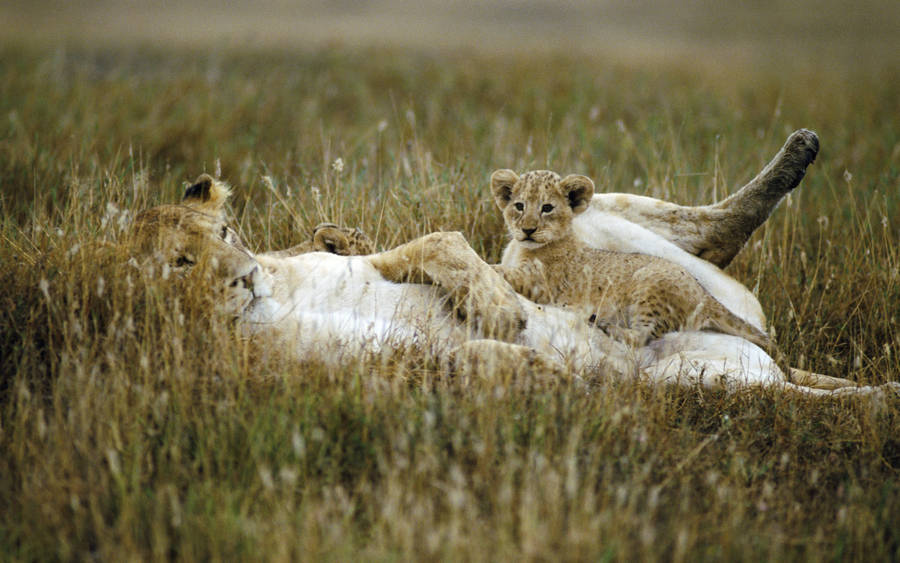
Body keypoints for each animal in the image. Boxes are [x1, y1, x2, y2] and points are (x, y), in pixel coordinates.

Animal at [124, 130, 897, 396]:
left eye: (228, 229)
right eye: (181, 263)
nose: (244, 274)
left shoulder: (376, 257)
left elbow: (437, 242)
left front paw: (498, 310)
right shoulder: (347, 367)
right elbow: (460, 357)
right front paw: (535, 358)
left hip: (623, 223)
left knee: (712, 232)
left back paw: (799, 152)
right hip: (708, 384)